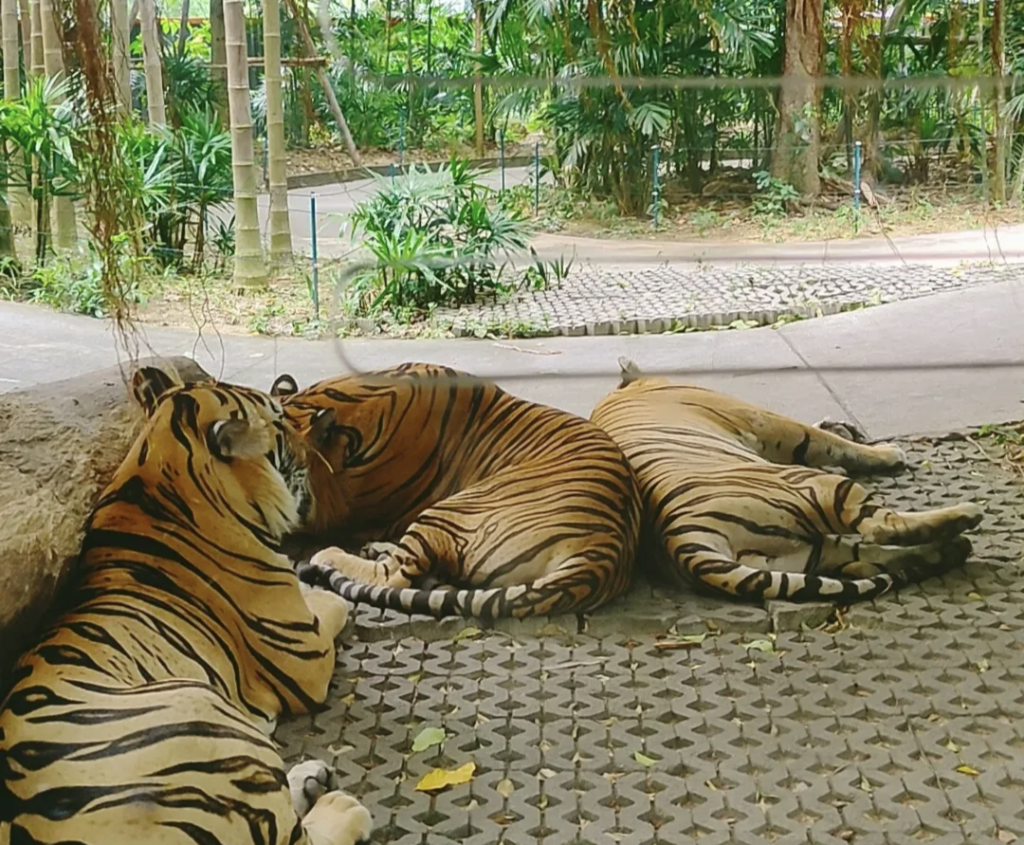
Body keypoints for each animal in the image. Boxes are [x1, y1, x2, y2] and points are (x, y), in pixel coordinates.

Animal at [0, 366, 372, 845]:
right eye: (278, 420)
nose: (312, 445)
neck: (161, 472)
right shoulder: (307, 655)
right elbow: (331, 606)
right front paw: (323, 589)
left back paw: (308, 780)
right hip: (200, 705)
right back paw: (340, 807)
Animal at [588, 357, 984, 604]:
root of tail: (681, 543)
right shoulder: (768, 421)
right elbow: (825, 440)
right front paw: (886, 452)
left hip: (809, 553)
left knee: (869, 558)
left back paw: (950, 549)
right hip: (817, 490)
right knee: (881, 528)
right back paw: (965, 516)